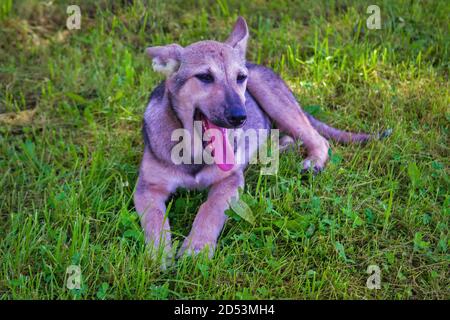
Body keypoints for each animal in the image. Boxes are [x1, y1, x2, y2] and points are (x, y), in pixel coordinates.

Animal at [134, 16, 390, 260]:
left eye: (240, 78)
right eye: (205, 77)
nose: (240, 117)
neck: (194, 149)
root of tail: (255, 64)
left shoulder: (230, 180)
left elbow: (210, 208)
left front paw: (197, 247)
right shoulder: (147, 188)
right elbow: (154, 218)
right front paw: (158, 253)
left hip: (272, 98)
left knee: (317, 138)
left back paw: (313, 161)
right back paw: (281, 148)